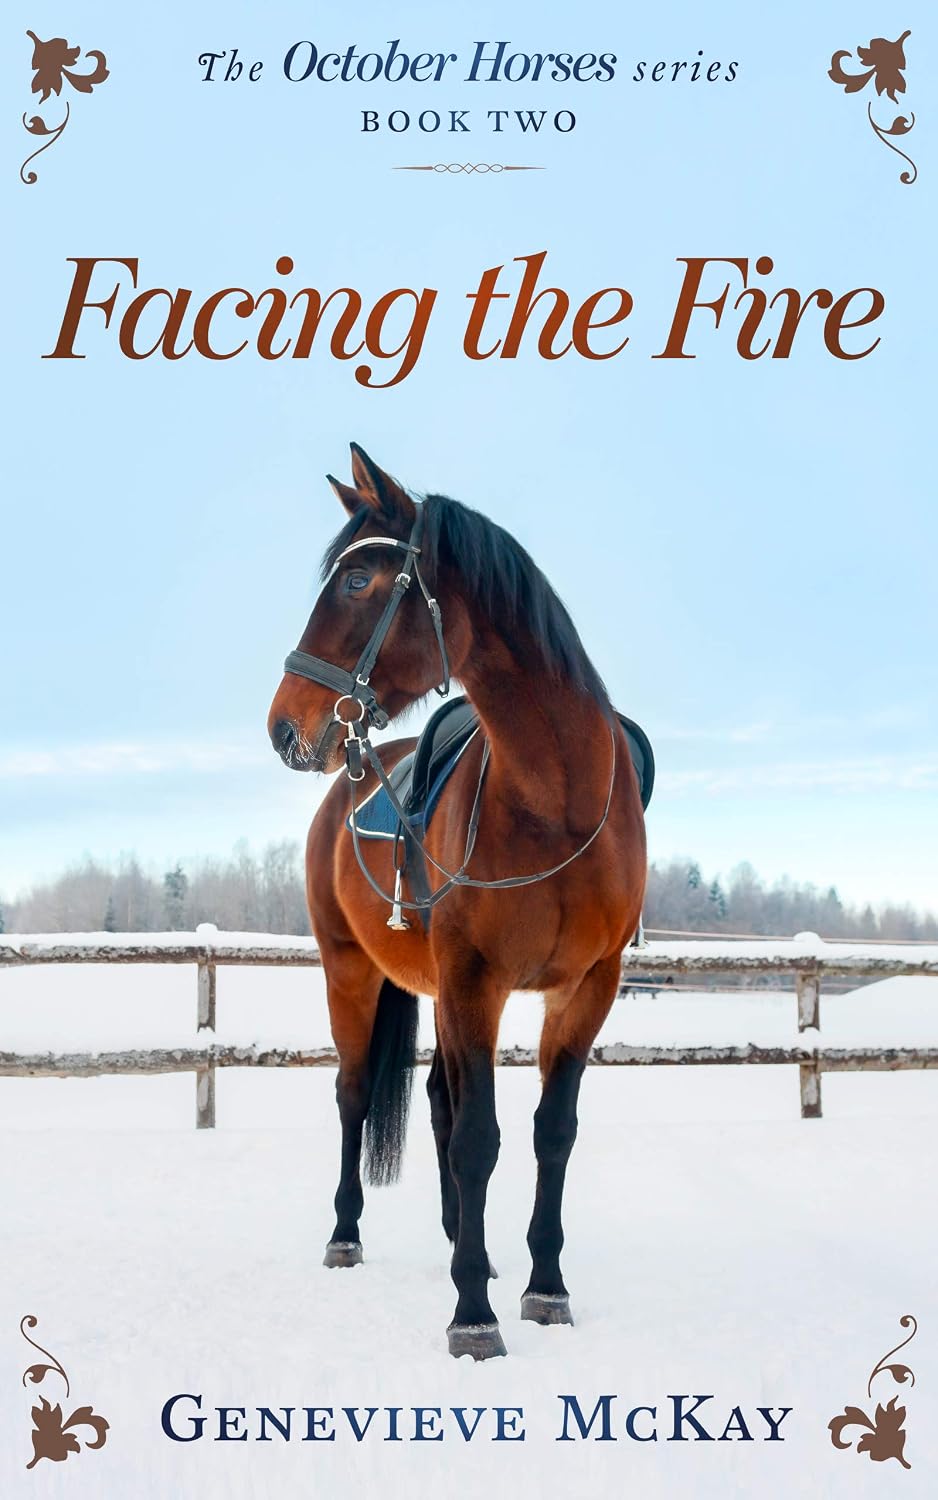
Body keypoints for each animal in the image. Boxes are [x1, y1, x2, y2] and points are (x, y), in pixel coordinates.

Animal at [267, 444, 647, 1360]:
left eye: (359, 580)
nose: (286, 727)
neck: (555, 799)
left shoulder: (585, 989)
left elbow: (550, 1132)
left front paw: (545, 1286)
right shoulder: (476, 980)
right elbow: (480, 1139)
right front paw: (471, 1312)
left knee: (439, 1099)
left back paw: (456, 1240)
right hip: (351, 975)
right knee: (356, 1095)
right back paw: (347, 1234)